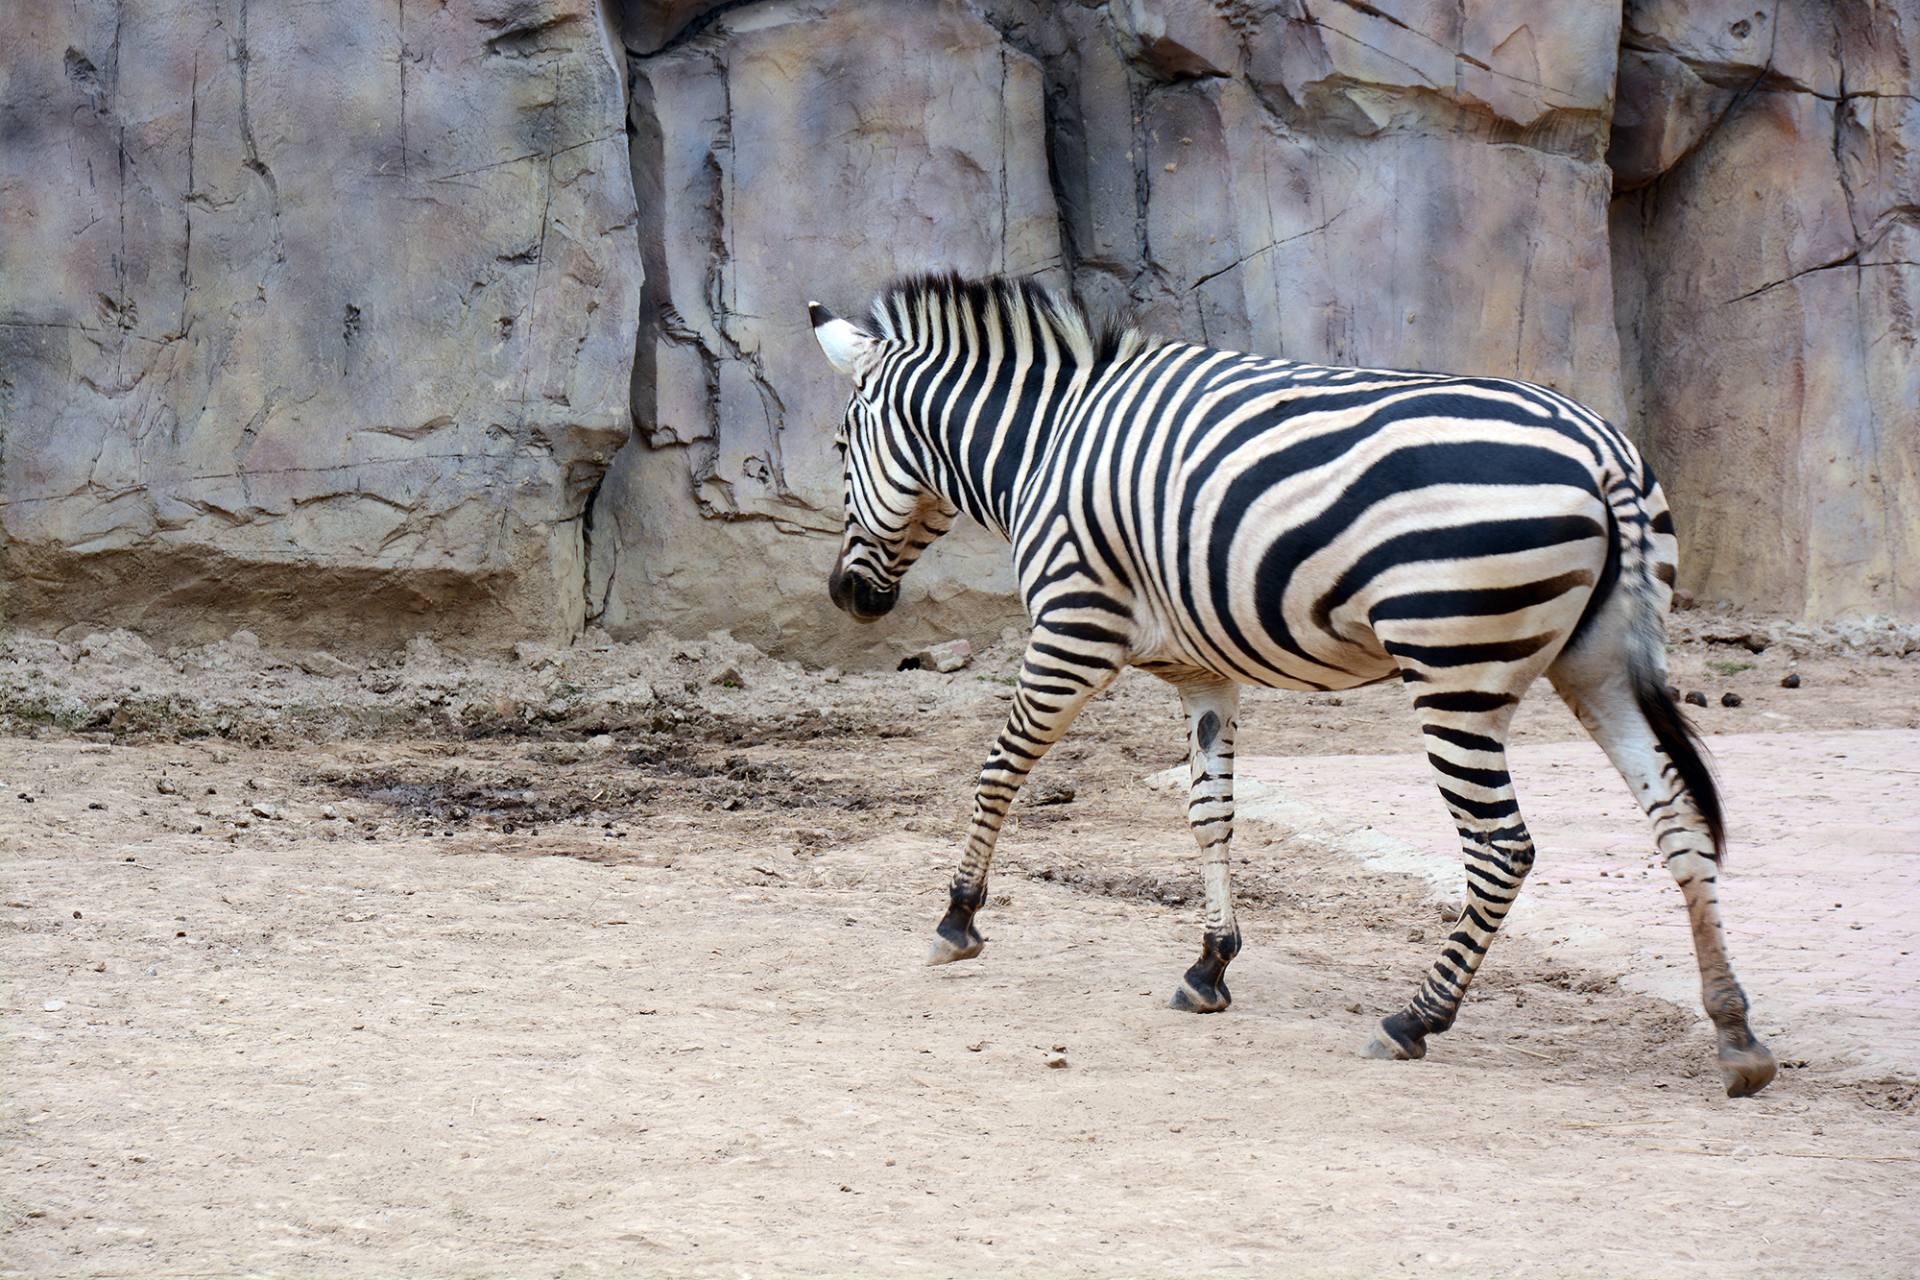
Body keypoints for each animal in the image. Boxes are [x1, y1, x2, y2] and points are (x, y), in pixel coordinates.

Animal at [802, 272, 1774, 1105]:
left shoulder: (1076, 630)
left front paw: (957, 919)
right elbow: (1210, 813)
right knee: (1679, 818)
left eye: (845, 447)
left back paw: (1415, 1018)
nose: (848, 597)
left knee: (1504, 849)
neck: (1043, 442)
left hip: (1455, 670)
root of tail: (1604, 450)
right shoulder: (1205, 672)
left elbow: (999, 769)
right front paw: (1210, 966)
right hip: (1599, 666)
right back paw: (1735, 1033)